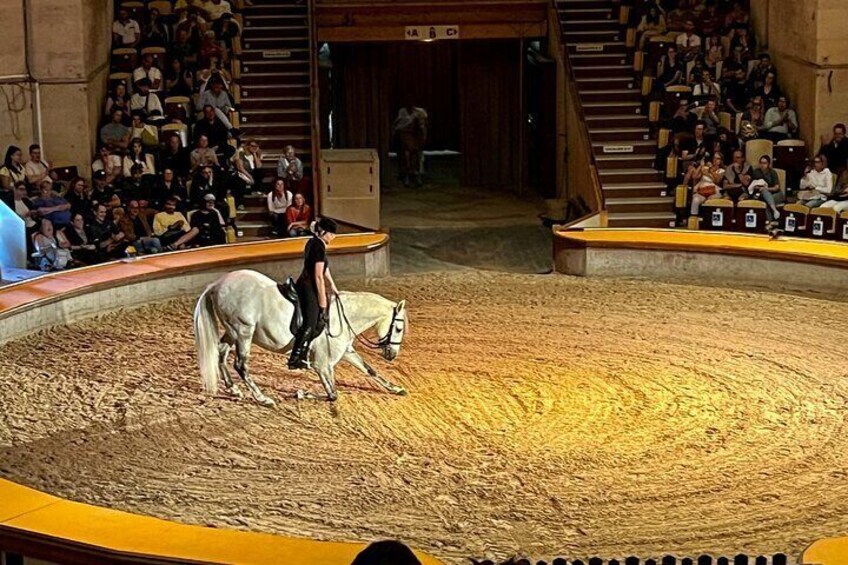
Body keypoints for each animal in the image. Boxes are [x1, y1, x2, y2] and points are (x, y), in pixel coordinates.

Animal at [197, 270, 410, 406]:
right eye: (399, 328)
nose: (392, 355)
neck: (342, 318)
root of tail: (217, 284)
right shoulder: (322, 364)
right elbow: (333, 395)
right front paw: (300, 393)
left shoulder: (346, 352)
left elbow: (369, 370)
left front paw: (396, 388)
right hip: (243, 332)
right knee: (240, 365)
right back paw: (263, 399)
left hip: (232, 332)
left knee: (221, 353)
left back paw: (234, 390)